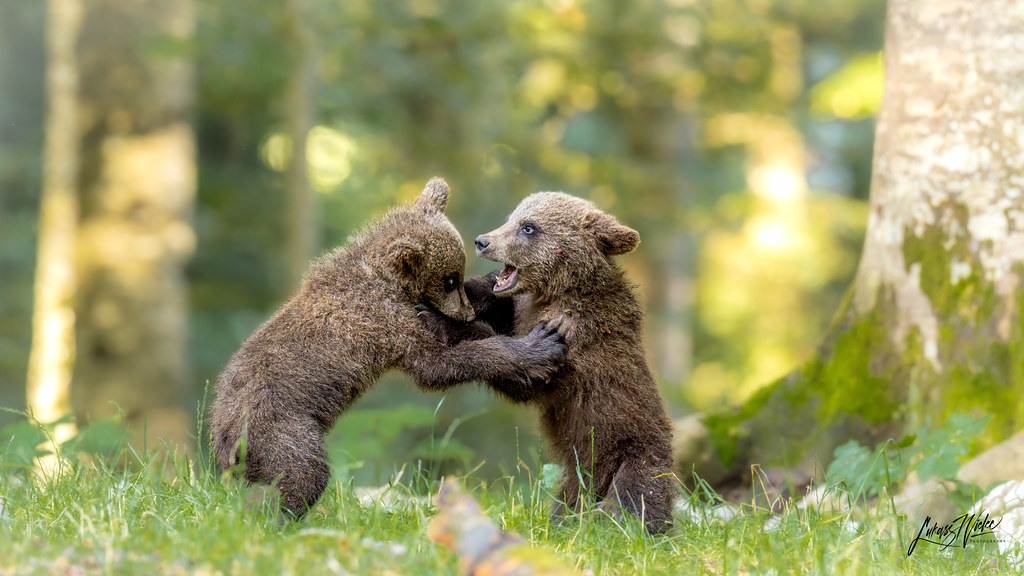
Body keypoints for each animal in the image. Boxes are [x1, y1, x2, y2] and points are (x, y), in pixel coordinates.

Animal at [210, 178, 567, 518]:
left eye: (458, 274)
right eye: (449, 279)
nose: (465, 313)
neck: (389, 283)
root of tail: (221, 437)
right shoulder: (387, 324)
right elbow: (436, 366)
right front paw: (536, 347)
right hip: (279, 428)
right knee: (300, 474)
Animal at [427, 192, 676, 534]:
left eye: (528, 227)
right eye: (513, 217)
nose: (482, 241)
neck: (557, 290)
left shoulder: (577, 337)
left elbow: (532, 379)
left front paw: (444, 320)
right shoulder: (521, 308)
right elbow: (496, 302)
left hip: (634, 453)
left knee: (632, 500)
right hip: (574, 480)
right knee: (568, 502)